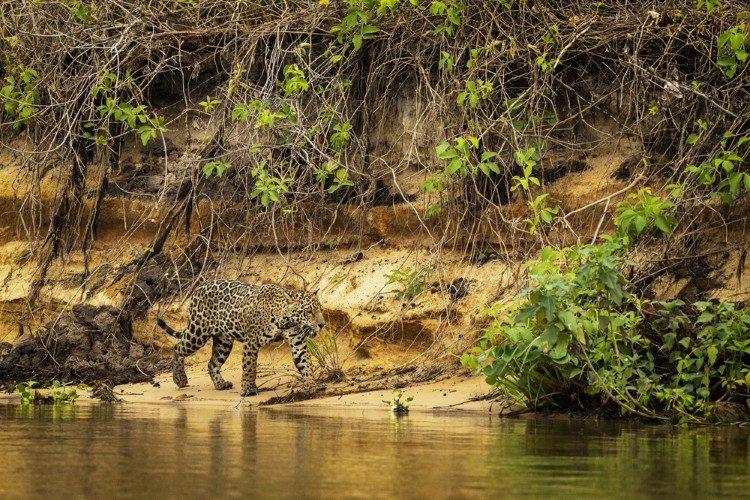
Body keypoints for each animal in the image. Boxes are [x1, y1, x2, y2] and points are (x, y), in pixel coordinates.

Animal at [156, 279, 326, 397]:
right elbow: (250, 367)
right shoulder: (251, 342)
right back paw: (180, 379)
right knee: (178, 347)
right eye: (309, 312)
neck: (285, 320)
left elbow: (306, 364)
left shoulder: (298, 342)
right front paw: (248, 389)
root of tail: (199, 287)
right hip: (198, 332)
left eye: (320, 310)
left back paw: (221, 384)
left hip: (223, 342)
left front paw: (311, 385)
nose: (322, 324)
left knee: (212, 363)